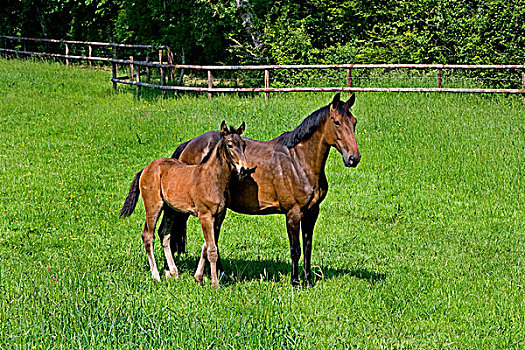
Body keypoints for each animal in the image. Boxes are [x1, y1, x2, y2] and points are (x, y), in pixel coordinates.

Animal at [162, 93, 358, 288]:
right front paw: (295, 282)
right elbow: (296, 249)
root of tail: (188, 144)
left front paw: (308, 281)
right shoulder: (293, 214)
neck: (298, 162)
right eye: (337, 122)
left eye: (354, 122)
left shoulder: (311, 212)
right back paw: (169, 271)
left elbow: (308, 247)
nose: (353, 158)